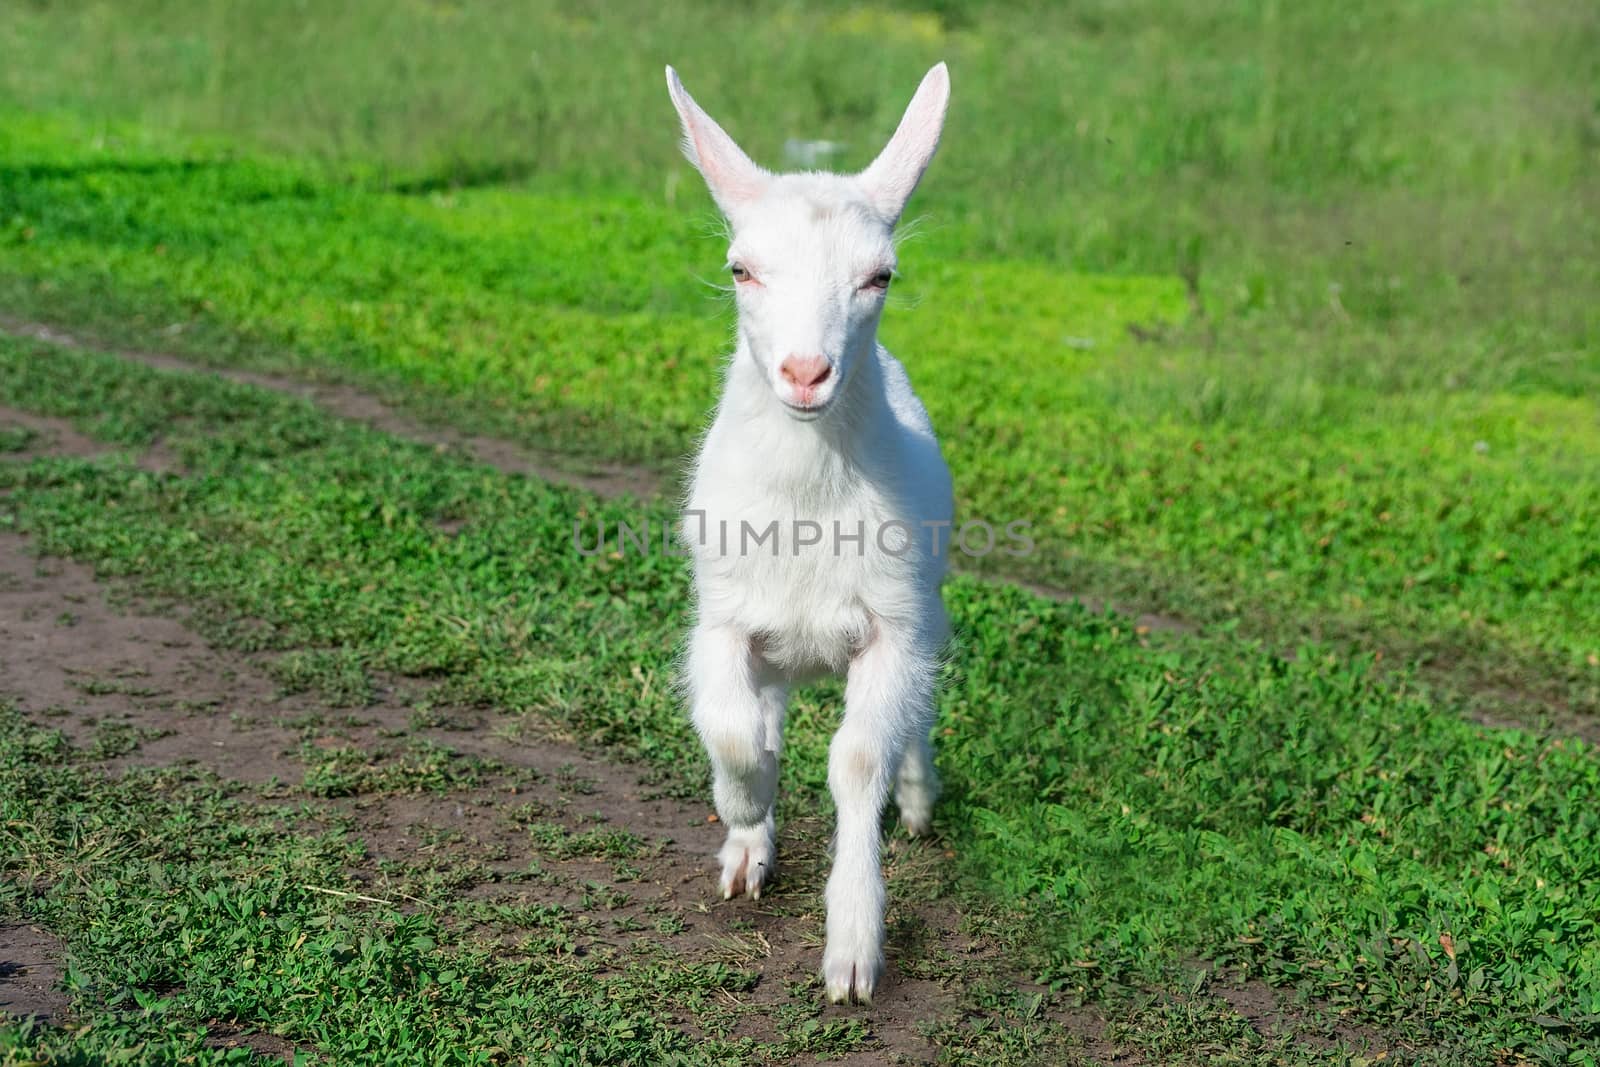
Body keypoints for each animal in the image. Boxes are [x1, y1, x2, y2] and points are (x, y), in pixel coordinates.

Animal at [662, 64, 947, 1004]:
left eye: (880, 276)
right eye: (741, 268)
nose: (804, 372)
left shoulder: (893, 626)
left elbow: (856, 760)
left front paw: (854, 949)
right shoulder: (720, 616)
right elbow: (730, 726)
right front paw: (747, 811)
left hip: (931, 610)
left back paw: (919, 796)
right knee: (769, 708)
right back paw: (747, 849)